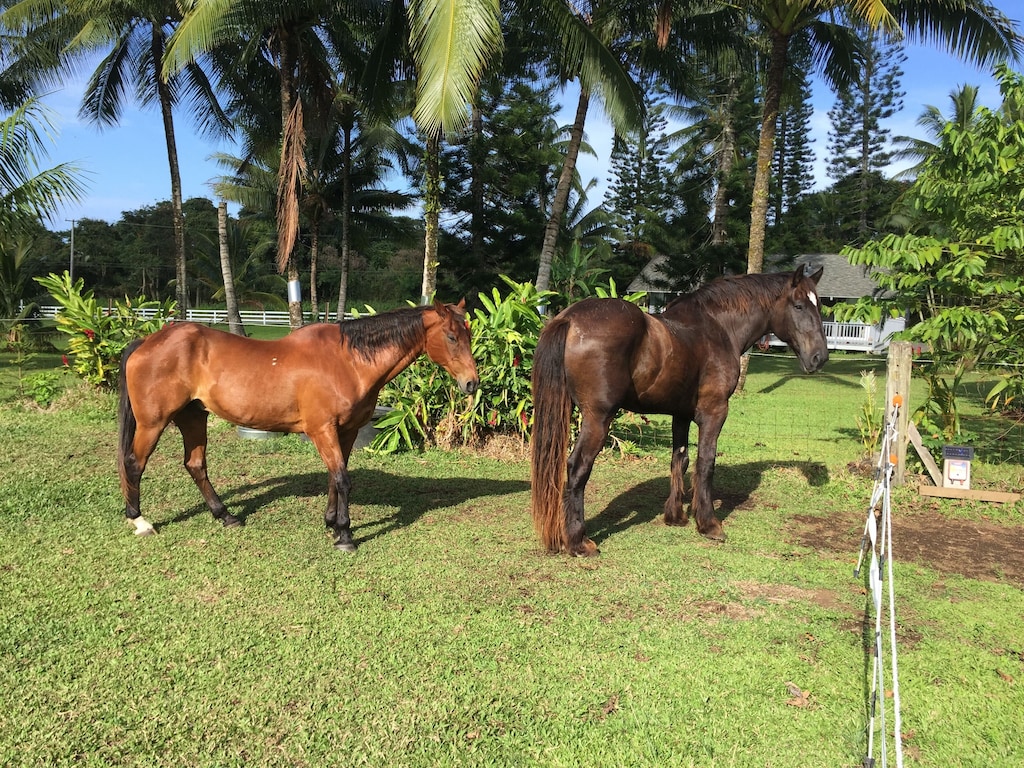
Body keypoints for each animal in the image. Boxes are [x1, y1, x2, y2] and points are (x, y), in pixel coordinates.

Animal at [117, 301, 479, 552]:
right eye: (451, 336)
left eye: (469, 334)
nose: (471, 383)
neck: (347, 361)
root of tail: (146, 341)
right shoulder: (322, 430)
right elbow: (342, 479)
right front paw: (345, 535)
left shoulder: (345, 431)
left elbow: (336, 477)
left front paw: (332, 523)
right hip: (153, 422)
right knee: (134, 463)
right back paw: (140, 521)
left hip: (193, 417)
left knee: (195, 465)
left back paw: (226, 516)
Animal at [532, 268, 827, 557]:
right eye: (799, 305)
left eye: (819, 305)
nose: (820, 358)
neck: (719, 328)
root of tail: (570, 319)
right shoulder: (714, 412)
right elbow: (705, 463)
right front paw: (708, 524)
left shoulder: (681, 415)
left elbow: (680, 460)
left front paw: (675, 516)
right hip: (598, 419)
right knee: (577, 468)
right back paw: (578, 542)